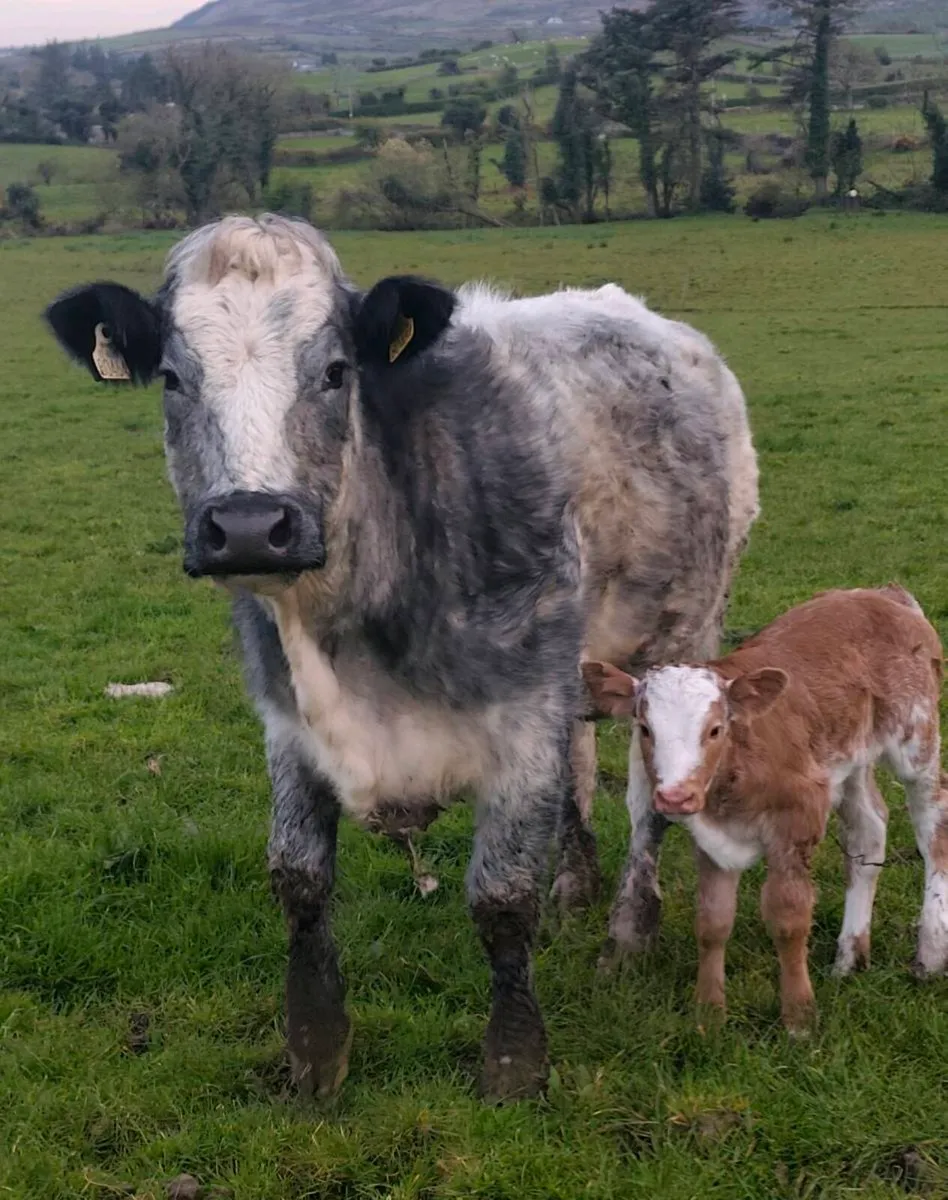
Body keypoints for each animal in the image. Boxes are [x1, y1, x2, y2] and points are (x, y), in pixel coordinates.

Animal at [44, 214, 758, 1099]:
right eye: (173, 377)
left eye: (336, 372)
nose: (247, 526)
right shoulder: (287, 718)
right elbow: (298, 878)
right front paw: (315, 1053)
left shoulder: (523, 711)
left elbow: (501, 896)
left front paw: (514, 1065)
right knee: (581, 768)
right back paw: (576, 887)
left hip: (678, 644)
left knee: (647, 806)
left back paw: (627, 932)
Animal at [583, 585, 948, 1033]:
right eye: (645, 729)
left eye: (715, 730)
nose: (675, 797)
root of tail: (881, 593)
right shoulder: (709, 837)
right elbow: (713, 921)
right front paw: (709, 1014)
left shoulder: (797, 820)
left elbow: (788, 918)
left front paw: (799, 1018)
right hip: (850, 759)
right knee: (869, 831)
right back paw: (849, 957)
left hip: (917, 740)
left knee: (933, 827)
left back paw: (930, 955)